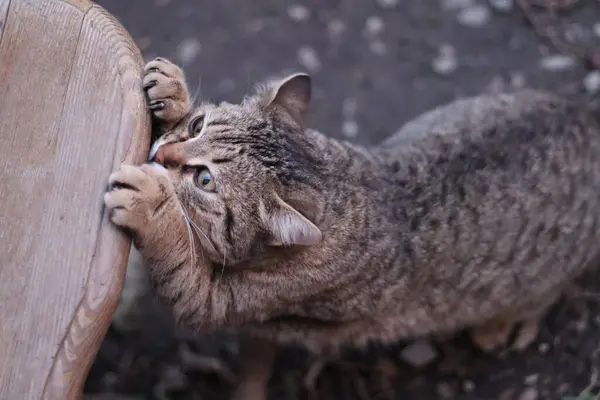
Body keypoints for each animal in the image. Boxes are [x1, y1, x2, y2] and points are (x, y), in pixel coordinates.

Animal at [105, 56, 600, 396]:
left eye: (205, 181)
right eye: (197, 125)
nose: (162, 156)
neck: (347, 187)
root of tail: (587, 120)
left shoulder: (213, 303)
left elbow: (179, 260)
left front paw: (153, 201)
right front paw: (171, 92)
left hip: (540, 283)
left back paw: (499, 328)